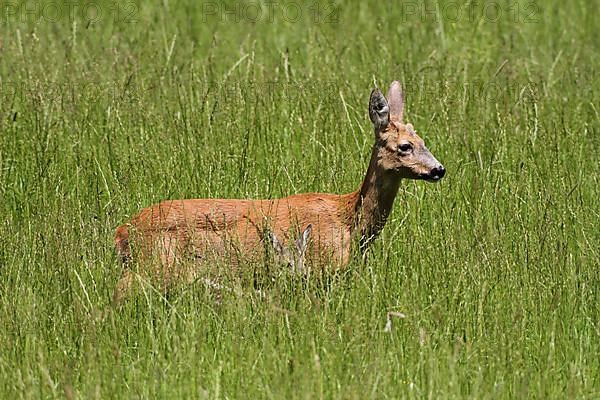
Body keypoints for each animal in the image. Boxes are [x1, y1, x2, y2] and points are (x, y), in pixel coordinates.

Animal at [113, 80, 446, 300]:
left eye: (423, 140)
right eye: (405, 146)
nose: (439, 169)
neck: (349, 221)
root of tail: (122, 232)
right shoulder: (324, 266)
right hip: (151, 268)